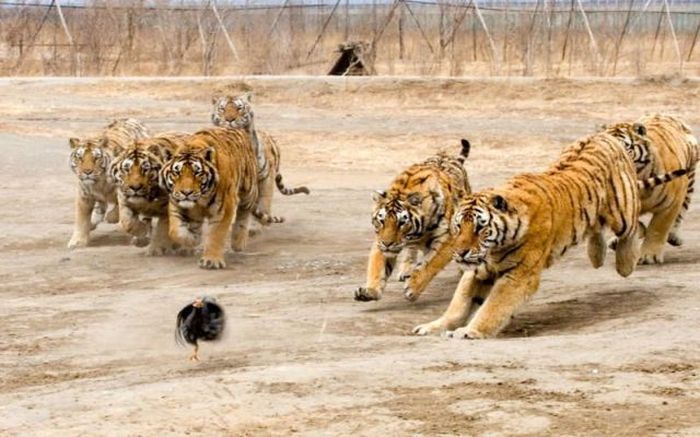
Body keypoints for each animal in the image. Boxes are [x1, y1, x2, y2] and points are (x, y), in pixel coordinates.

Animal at [67, 118, 150, 249]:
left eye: (96, 158)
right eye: (79, 158)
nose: (87, 172)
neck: (99, 182)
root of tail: (132, 119)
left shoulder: (124, 191)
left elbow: (125, 219)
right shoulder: (84, 195)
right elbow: (81, 219)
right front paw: (77, 241)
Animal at [160, 126, 262, 270]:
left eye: (197, 173)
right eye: (177, 172)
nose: (186, 192)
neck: (199, 199)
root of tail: (233, 128)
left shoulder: (223, 210)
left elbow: (216, 235)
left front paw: (211, 261)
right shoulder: (176, 204)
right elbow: (175, 231)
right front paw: (192, 239)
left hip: (249, 190)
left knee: (245, 211)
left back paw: (238, 241)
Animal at [211, 93, 308, 233]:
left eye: (239, 108)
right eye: (222, 109)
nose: (229, 119)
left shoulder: (265, 178)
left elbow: (263, 202)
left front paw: (258, 225)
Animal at [356, 140, 470, 304]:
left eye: (401, 223)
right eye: (382, 221)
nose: (387, 243)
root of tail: (448, 156)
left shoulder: (448, 239)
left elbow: (430, 263)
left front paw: (413, 288)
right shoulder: (380, 239)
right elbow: (377, 267)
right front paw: (370, 291)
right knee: (411, 249)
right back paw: (405, 271)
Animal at [600, 113, 700, 262]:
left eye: (625, 148)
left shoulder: (673, 200)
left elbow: (658, 228)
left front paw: (649, 256)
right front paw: (639, 232)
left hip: (689, 179)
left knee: (683, 209)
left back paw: (673, 236)